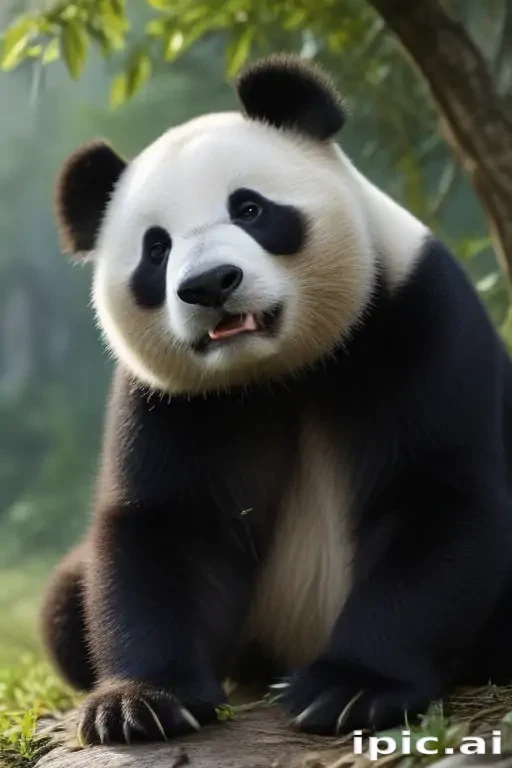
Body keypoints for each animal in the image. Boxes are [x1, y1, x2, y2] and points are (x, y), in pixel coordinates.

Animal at [41, 52, 512, 746]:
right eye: (156, 248)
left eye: (250, 209)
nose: (211, 284)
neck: (281, 371)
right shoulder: (174, 402)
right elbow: (169, 528)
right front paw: (140, 702)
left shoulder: (415, 317)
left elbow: (437, 497)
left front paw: (350, 689)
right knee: (63, 604)